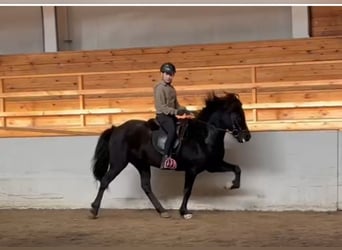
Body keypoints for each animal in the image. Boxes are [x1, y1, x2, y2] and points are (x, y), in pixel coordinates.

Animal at [91, 92, 251, 219]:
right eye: (238, 115)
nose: (247, 137)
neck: (203, 136)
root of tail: (116, 129)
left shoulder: (212, 165)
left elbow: (237, 168)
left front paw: (231, 185)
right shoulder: (192, 169)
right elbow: (187, 190)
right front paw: (184, 212)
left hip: (142, 164)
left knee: (146, 186)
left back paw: (162, 211)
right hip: (119, 163)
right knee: (105, 181)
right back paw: (94, 210)